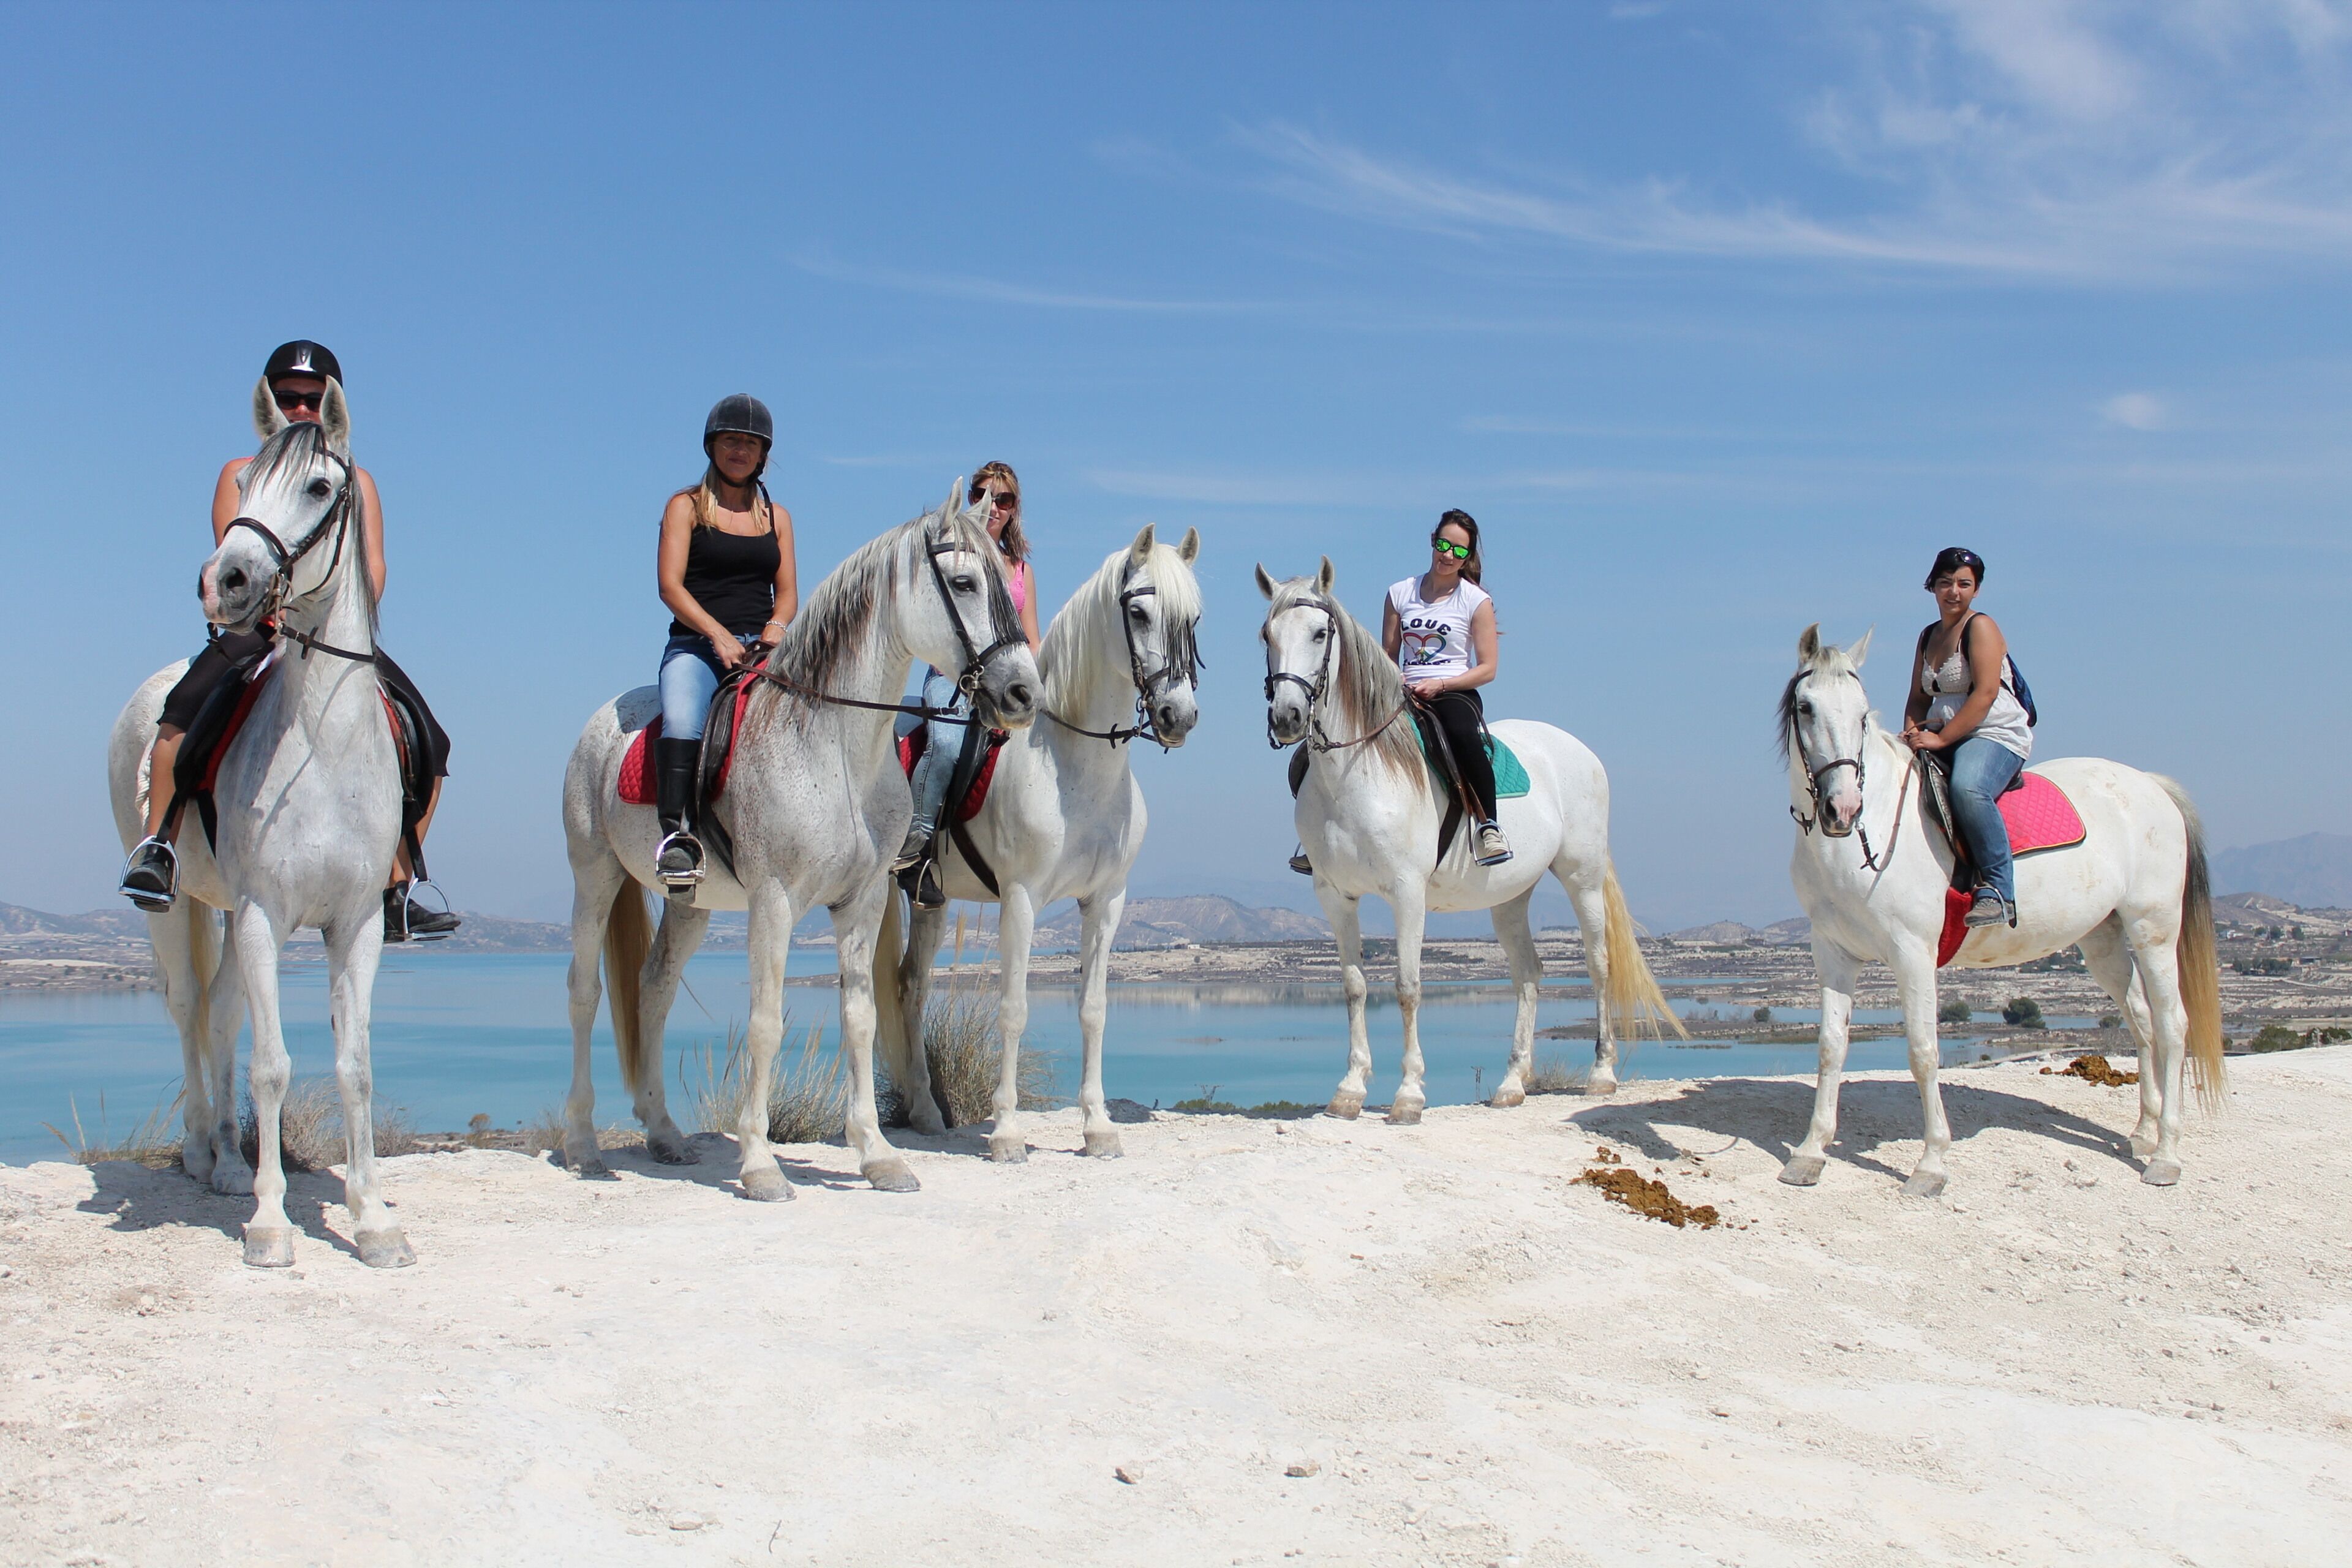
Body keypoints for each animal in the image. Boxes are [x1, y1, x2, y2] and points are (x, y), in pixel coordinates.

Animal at [559, 485, 1040, 1200]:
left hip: (691, 902)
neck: (835, 745)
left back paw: (665, 1134)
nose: (1023, 693)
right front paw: (760, 1164)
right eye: (963, 583)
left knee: (654, 986)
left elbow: (861, 1016)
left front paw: (877, 1155)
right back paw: (584, 1146)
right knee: (585, 992)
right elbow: (765, 1021)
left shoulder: (864, 900)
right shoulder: (775, 901)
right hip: (594, 876)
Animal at [874, 524, 1204, 1163]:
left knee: (911, 986)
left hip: (930, 899)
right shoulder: (1021, 900)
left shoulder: (1106, 902)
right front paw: (1006, 1133)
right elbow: (1014, 1010)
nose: (1178, 716)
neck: (1077, 766)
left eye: (1193, 620)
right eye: (1138, 613)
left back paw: (926, 1113)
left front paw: (1098, 1128)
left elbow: (1094, 1010)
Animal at [1257, 559, 1679, 1123]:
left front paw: (1409, 1095)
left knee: (1598, 964)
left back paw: (1601, 1075)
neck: (1356, 770)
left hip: (1583, 879)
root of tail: (1578, 749)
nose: (1287, 718)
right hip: (1510, 896)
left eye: (1320, 634)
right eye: (1267, 635)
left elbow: (1408, 988)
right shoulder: (1335, 895)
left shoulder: (1407, 892)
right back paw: (1512, 1083)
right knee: (1529, 973)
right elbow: (1353, 986)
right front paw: (1349, 1090)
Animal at [1778, 624, 2225, 1194]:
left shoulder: (1912, 953)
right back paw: (2143, 1134)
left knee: (2171, 1025)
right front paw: (1810, 1154)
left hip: (2154, 931)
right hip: (2103, 941)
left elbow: (1923, 1052)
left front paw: (1931, 1164)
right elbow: (1831, 1047)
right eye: (1806, 708)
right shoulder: (1832, 952)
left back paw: (2165, 1155)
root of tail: (2152, 786)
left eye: (1861, 714)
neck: (1867, 832)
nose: (1842, 809)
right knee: (2142, 1020)